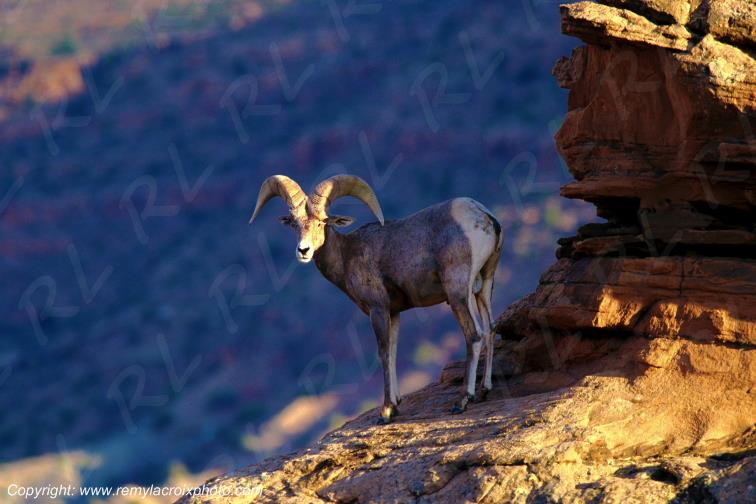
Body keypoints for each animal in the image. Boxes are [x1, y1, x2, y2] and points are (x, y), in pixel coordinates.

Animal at [250, 174, 503, 423]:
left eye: (322, 222)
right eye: (295, 224)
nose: (303, 251)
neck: (347, 255)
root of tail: (484, 217)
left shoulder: (377, 309)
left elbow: (383, 353)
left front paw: (386, 411)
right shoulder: (394, 313)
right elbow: (393, 351)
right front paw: (397, 403)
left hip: (458, 292)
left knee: (474, 334)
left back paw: (462, 400)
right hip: (483, 286)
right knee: (490, 328)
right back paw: (484, 390)